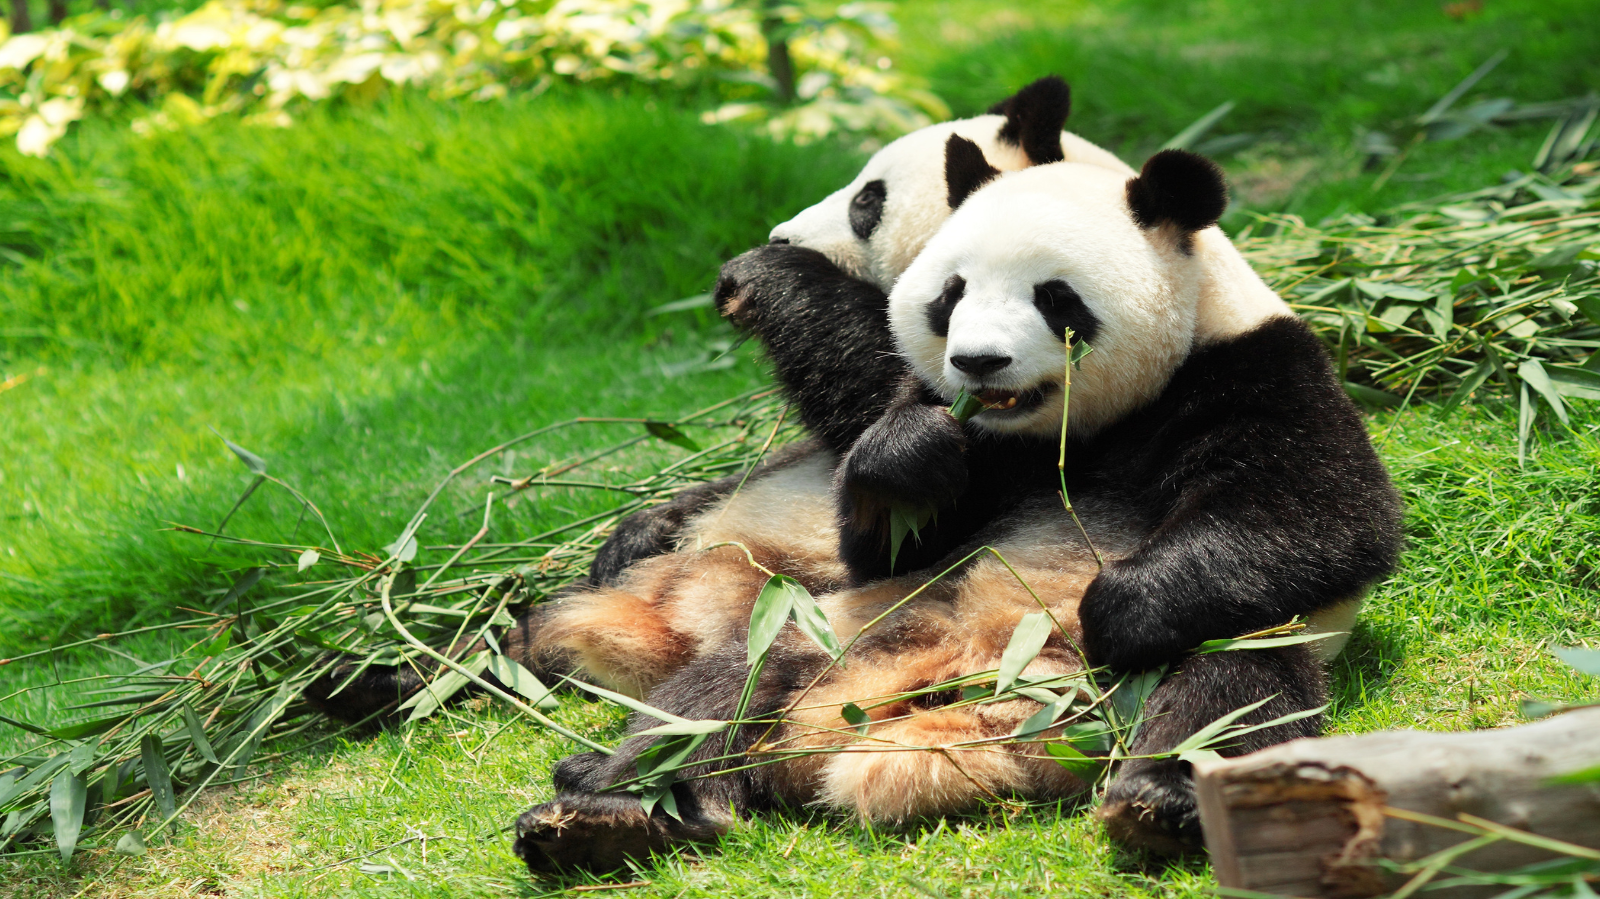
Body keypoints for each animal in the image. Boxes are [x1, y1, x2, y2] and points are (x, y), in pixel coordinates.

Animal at [508, 145, 1404, 871]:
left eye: (1054, 297)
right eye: (951, 293)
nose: (977, 363)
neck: (1068, 432)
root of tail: (966, 694)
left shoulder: (1252, 368)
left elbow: (1321, 520)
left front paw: (1113, 607)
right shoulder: (966, 447)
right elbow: (891, 529)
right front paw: (911, 456)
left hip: (1201, 657)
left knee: (1230, 691)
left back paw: (1160, 801)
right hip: (839, 624)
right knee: (723, 689)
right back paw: (610, 810)